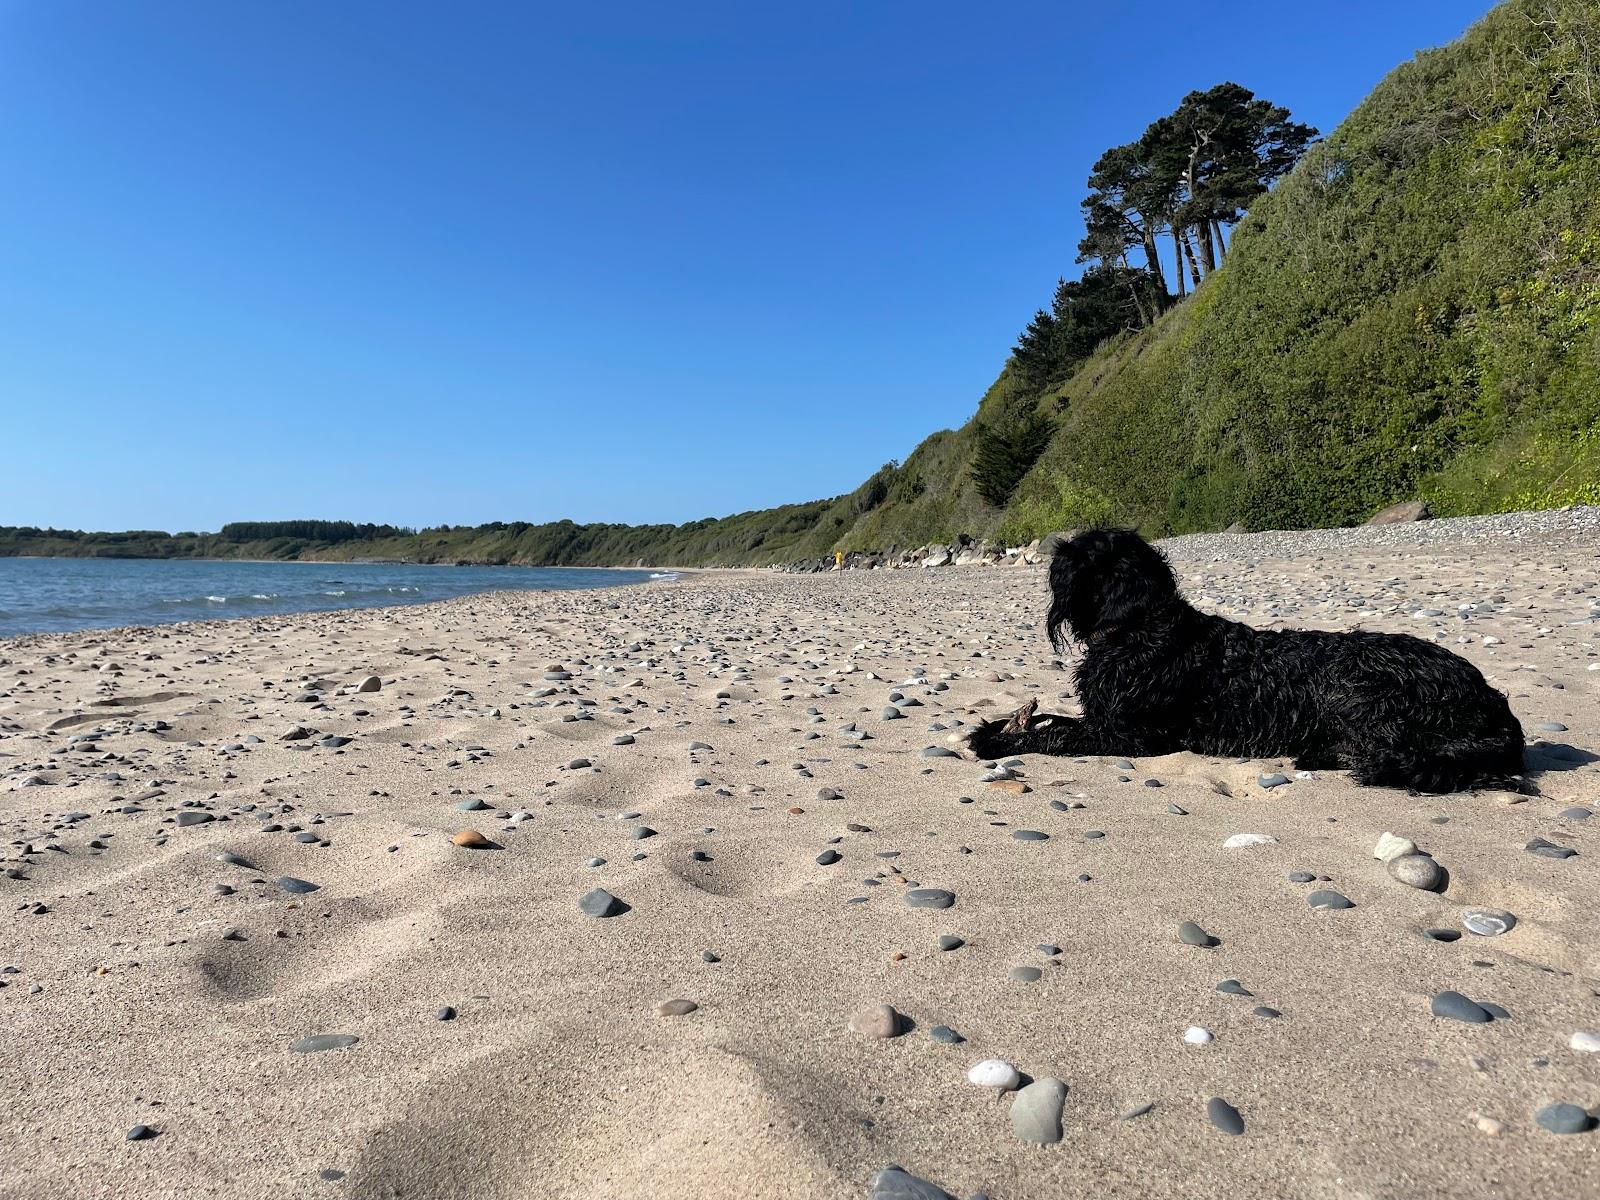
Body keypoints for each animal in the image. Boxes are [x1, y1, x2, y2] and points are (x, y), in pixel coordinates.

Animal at [953, 528, 1529, 800]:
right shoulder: (1103, 718)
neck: (1139, 623)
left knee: (1399, 753)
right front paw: (999, 724)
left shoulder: (1130, 734)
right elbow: (1050, 720)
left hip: (1356, 682)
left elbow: (1052, 735)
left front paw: (996, 742)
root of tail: (1496, 706)